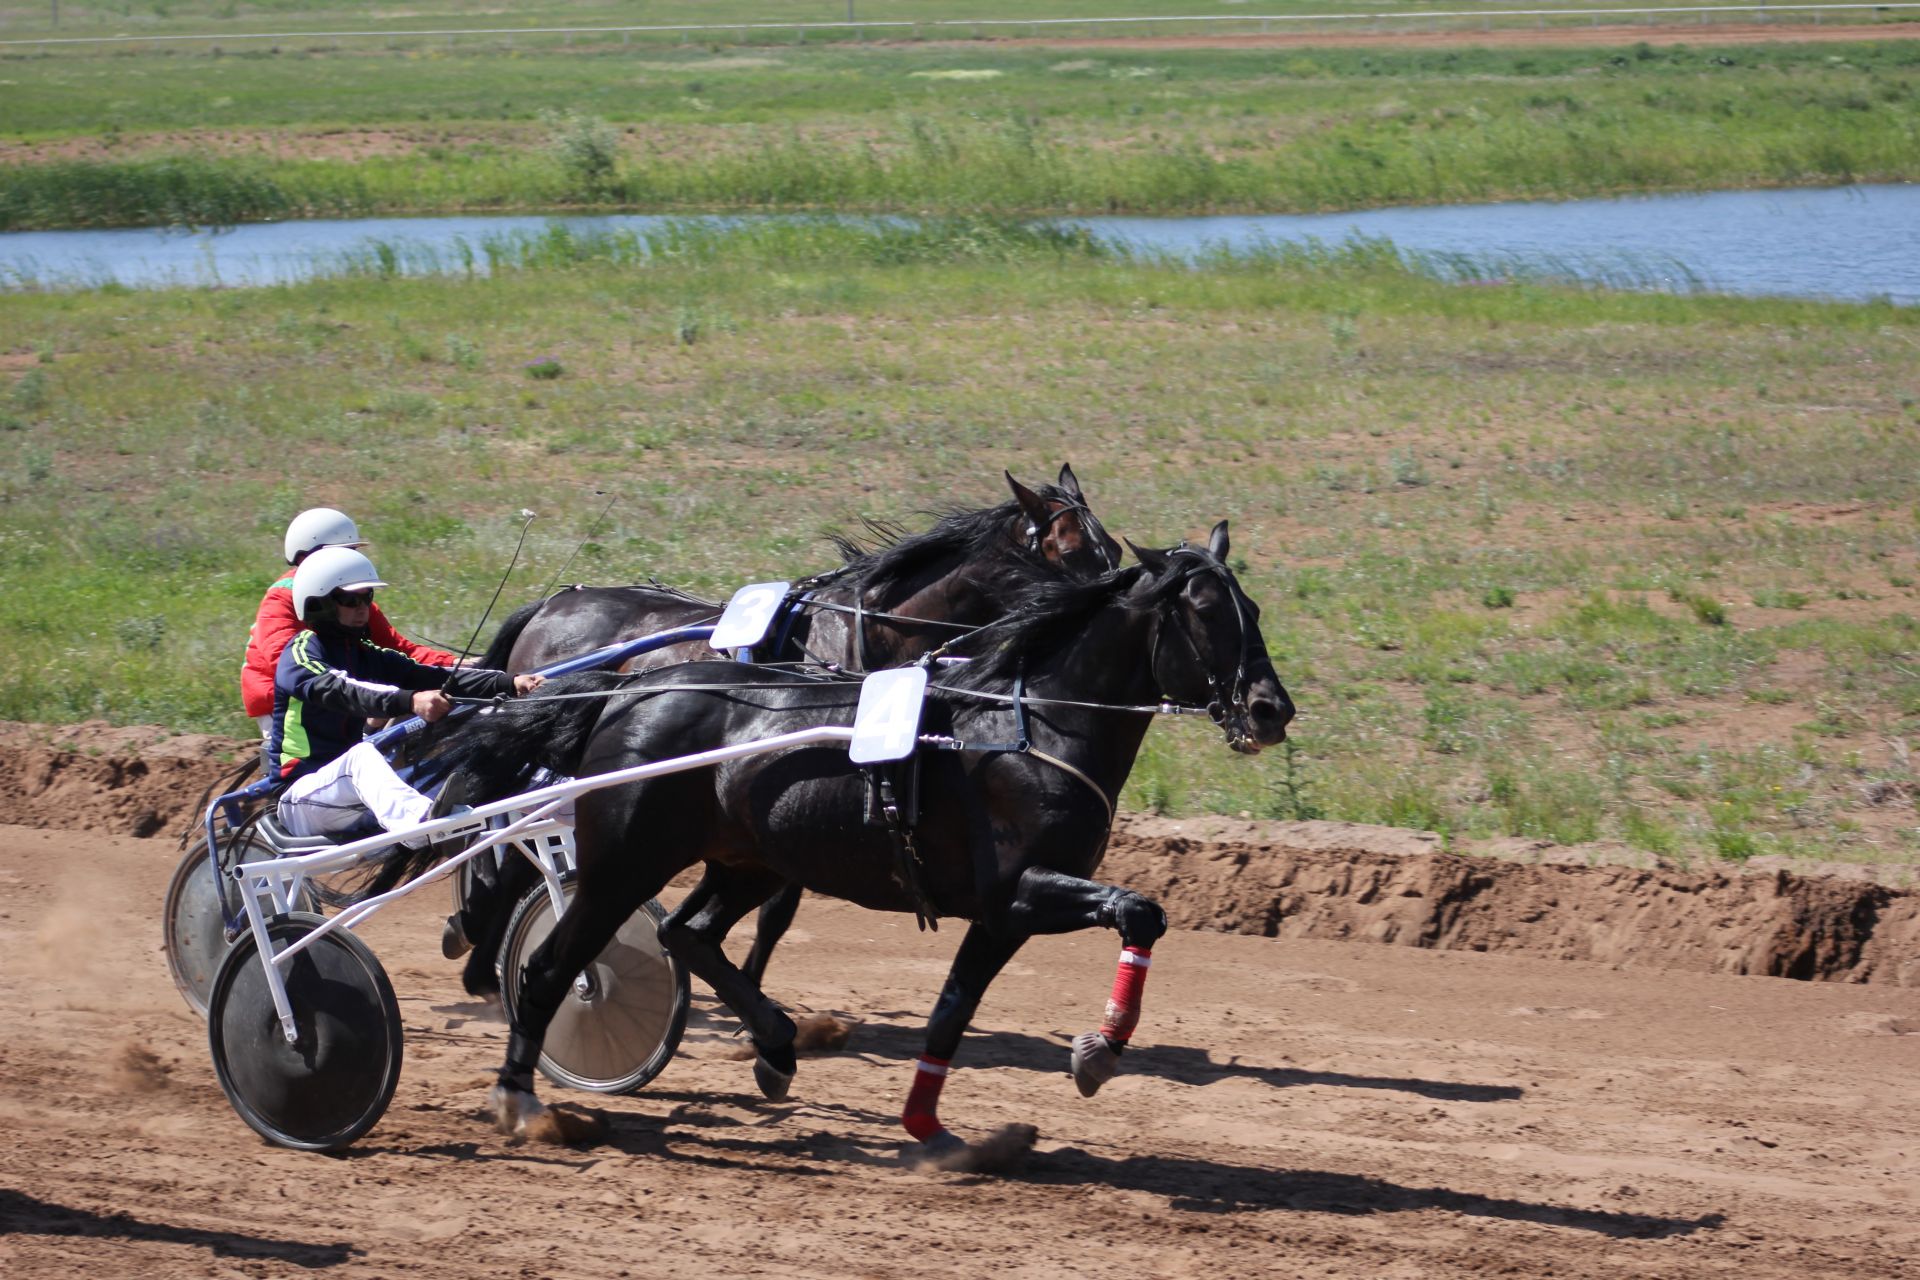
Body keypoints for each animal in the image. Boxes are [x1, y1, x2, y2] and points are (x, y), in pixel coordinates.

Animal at [414, 521, 1297, 1174]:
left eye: (1253, 605)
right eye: (1207, 609)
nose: (1271, 708)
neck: (1029, 725)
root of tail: (628, 689)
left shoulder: (998, 917)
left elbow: (949, 1016)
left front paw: (936, 1132)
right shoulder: (1022, 889)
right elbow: (1140, 911)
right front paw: (1098, 1052)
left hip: (744, 859)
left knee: (686, 933)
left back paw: (775, 1042)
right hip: (623, 865)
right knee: (551, 964)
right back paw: (523, 1097)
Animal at [443, 466, 1121, 997]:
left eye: (1112, 549)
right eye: (1067, 549)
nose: (1110, 595)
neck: (867, 632)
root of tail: (551, 604)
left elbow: (778, 904)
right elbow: (779, 900)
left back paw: (481, 958)